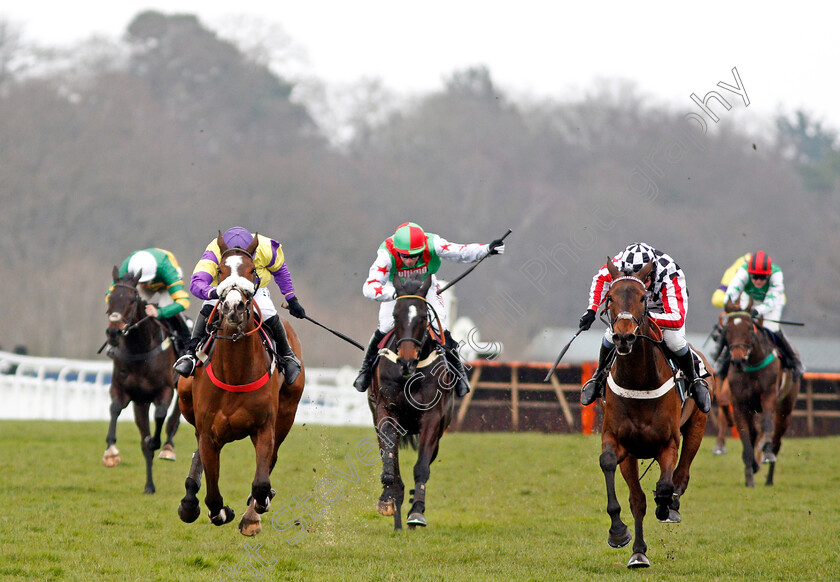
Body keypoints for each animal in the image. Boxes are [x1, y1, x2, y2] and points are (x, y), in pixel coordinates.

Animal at [105, 266, 180, 496]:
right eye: (110, 297)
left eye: (131, 300)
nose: (113, 332)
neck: (140, 349)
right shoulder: (123, 391)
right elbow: (115, 409)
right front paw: (111, 452)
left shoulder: (165, 390)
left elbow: (161, 415)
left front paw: (157, 442)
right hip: (141, 403)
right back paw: (149, 486)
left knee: (174, 417)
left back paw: (168, 447)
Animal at [177, 234, 306, 540]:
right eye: (221, 270)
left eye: (251, 271)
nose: (234, 307)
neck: (235, 371)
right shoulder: (209, 434)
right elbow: (212, 495)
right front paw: (218, 510)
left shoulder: (265, 427)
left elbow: (260, 483)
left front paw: (255, 510)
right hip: (186, 400)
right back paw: (189, 501)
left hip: (287, 413)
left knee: (271, 461)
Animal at [370, 276, 456, 532]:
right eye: (395, 315)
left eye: (422, 316)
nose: (406, 362)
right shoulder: (385, 411)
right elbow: (389, 458)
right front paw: (388, 497)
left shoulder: (432, 418)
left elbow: (422, 467)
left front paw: (416, 511)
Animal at [600, 262, 712, 572]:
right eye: (610, 297)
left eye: (641, 298)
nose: (623, 337)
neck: (639, 380)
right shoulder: (618, 441)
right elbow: (611, 467)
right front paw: (619, 533)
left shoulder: (667, 443)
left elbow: (665, 485)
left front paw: (665, 506)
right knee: (638, 499)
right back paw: (638, 552)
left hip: (697, 427)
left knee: (681, 476)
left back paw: (671, 508)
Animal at [720, 302, 800, 488]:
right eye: (727, 329)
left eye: (750, 328)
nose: (738, 360)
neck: (751, 364)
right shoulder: (739, 404)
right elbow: (745, 436)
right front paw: (750, 473)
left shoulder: (769, 396)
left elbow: (767, 425)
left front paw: (766, 454)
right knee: (754, 433)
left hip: (785, 410)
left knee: (777, 440)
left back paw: (769, 477)